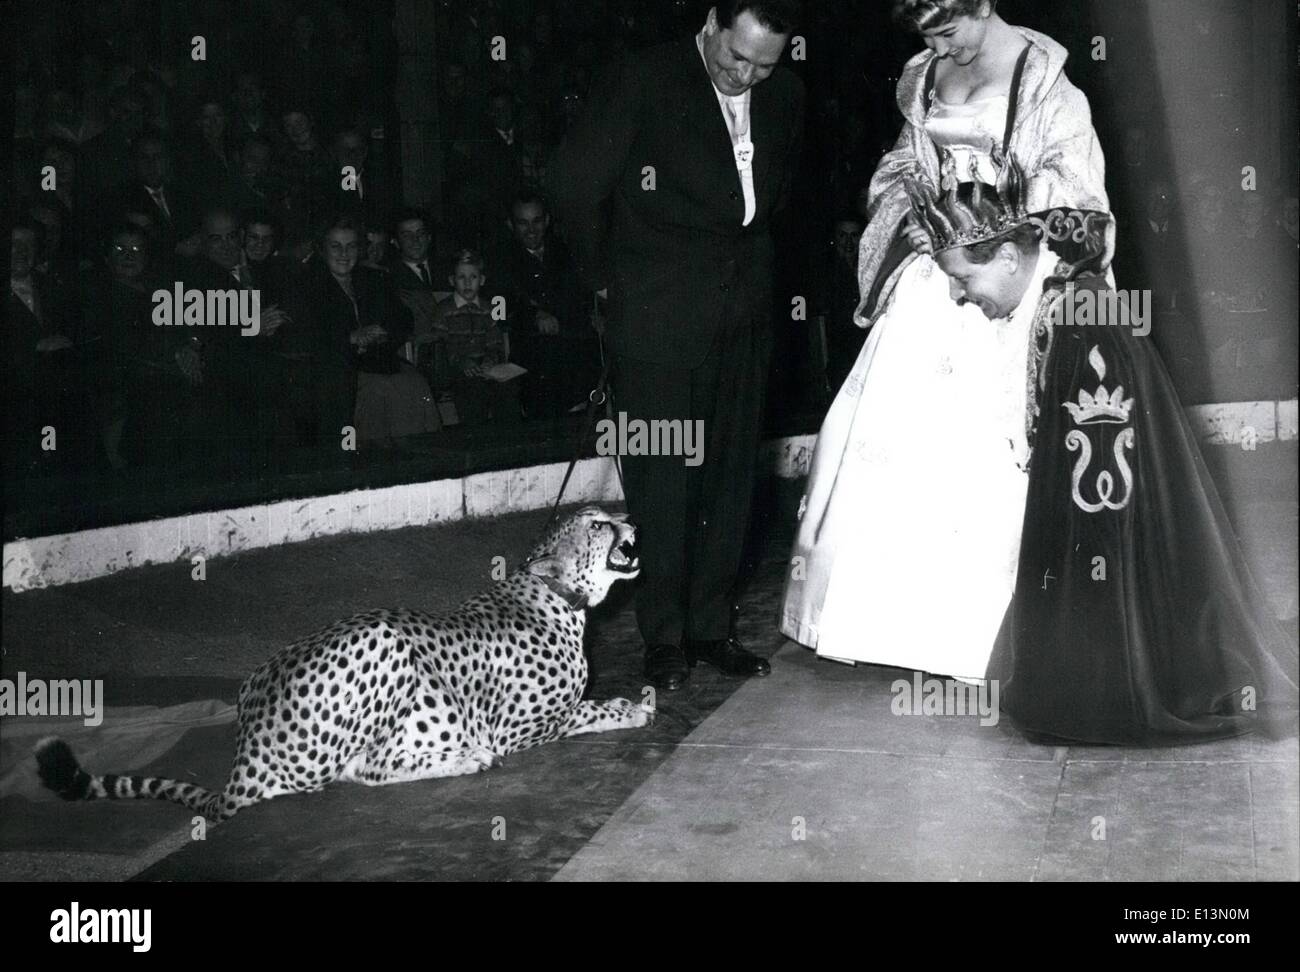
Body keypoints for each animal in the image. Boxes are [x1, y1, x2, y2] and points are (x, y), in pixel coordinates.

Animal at [32, 509, 650, 821]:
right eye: (597, 525)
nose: (630, 522)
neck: (559, 595)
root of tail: (243, 752)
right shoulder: (519, 728)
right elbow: (585, 711)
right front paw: (630, 708)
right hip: (383, 637)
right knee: (364, 770)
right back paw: (465, 759)